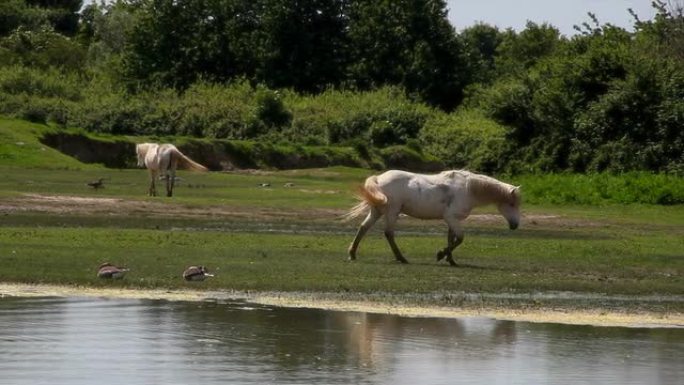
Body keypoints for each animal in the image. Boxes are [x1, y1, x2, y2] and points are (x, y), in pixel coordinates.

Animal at [344, 170, 520, 266]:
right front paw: (441, 255)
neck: (468, 189)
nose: (515, 225)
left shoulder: (452, 220)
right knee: (388, 233)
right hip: (392, 211)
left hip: (377, 211)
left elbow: (451, 239)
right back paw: (401, 258)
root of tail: (379, 178)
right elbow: (460, 239)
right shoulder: (451, 218)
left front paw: (451, 260)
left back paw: (352, 254)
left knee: (363, 228)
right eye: (512, 204)